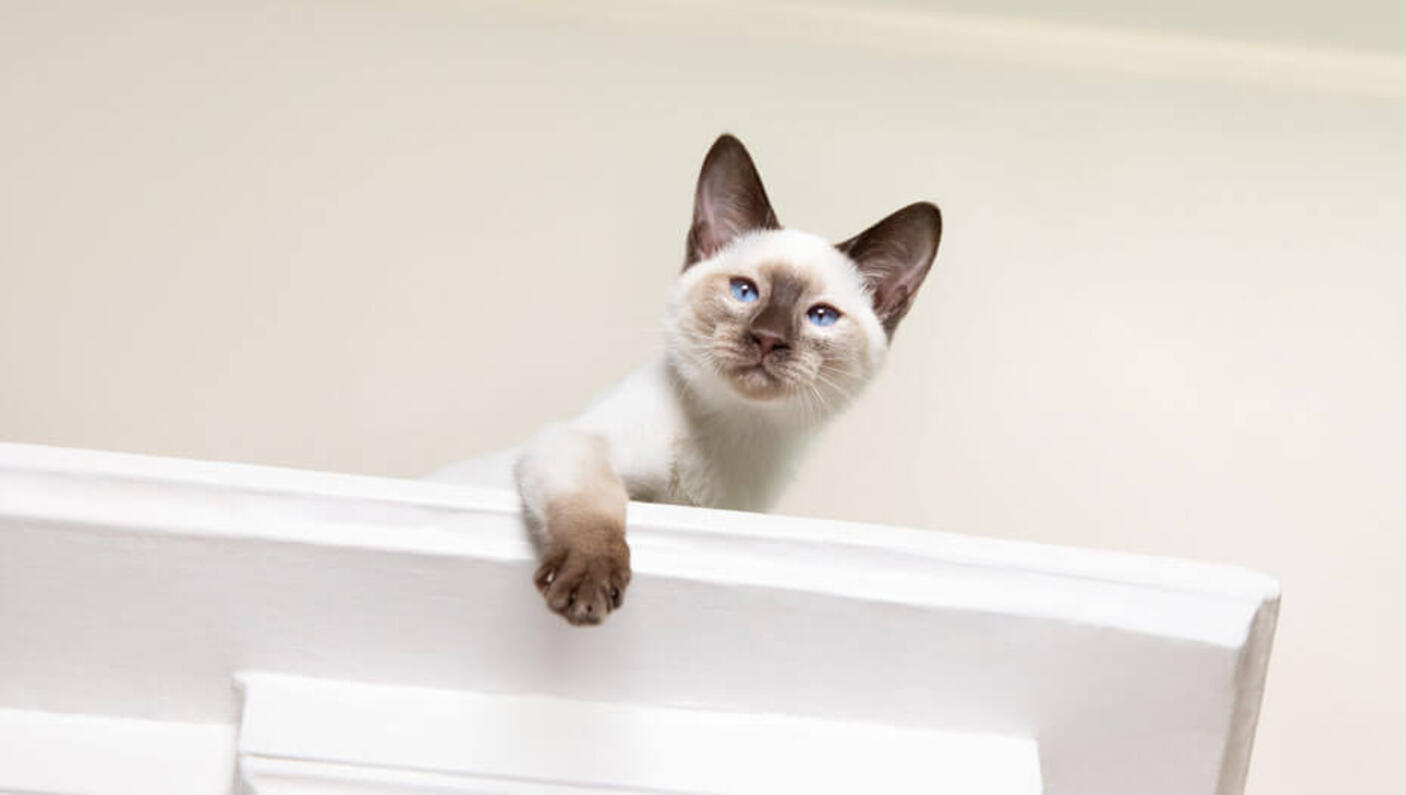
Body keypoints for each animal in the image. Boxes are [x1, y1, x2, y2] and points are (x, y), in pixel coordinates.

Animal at [433, 132, 939, 621]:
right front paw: (588, 587)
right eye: (744, 291)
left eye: (820, 316)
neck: (736, 436)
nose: (768, 339)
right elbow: (597, 509)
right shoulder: (572, 444)